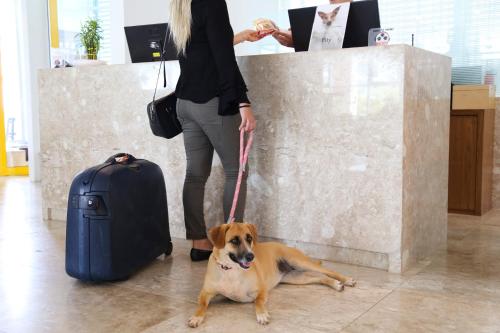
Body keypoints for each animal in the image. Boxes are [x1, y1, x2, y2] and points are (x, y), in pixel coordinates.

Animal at [188, 222, 356, 326]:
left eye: (249, 238)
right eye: (234, 241)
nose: (251, 256)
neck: (231, 270)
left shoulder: (261, 291)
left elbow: (258, 302)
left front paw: (262, 315)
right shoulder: (205, 293)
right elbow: (201, 305)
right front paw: (196, 317)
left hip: (299, 261)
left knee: (329, 272)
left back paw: (346, 280)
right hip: (297, 277)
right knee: (321, 277)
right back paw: (336, 284)